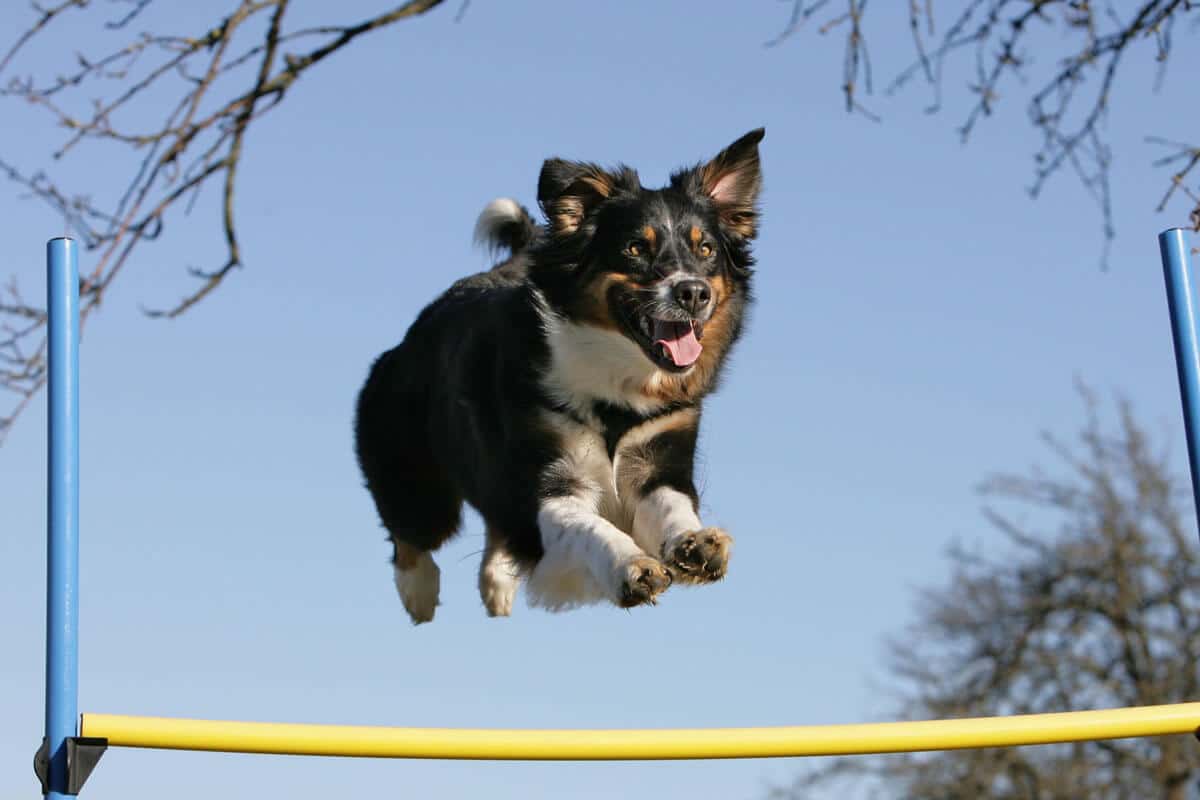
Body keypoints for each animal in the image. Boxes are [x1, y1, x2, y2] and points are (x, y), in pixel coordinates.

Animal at [352, 128, 758, 623]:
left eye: (706, 249)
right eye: (635, 248)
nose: (693, 292)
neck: (618, 384)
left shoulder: (660, 459)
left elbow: (672, 508)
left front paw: (695, 544)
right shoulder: (550, 482)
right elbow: (590, 527)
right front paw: (631, 566)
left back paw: (497, 584)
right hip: (414, 470)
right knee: (411, 532)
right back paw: (420, 593)